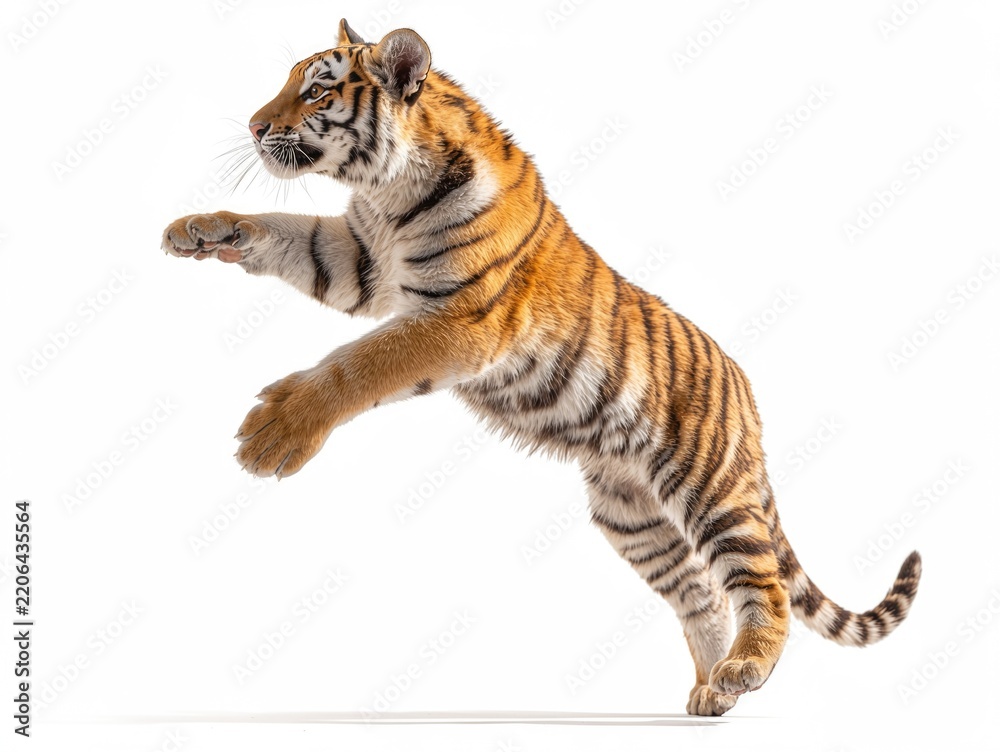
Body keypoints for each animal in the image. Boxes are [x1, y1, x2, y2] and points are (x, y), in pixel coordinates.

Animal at [161, 20, 921, 716]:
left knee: (761, 584)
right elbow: (278, 230)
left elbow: (361, 365)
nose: (256, 126)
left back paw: (745, 670)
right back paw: (712, 692)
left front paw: (274, 434)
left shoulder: (459, 322)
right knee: (700, 594)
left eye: (317, 89)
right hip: (633, 516)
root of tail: (745, 387)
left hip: (710, 487)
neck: (388, 192)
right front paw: (197, 229)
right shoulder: (356, 261)